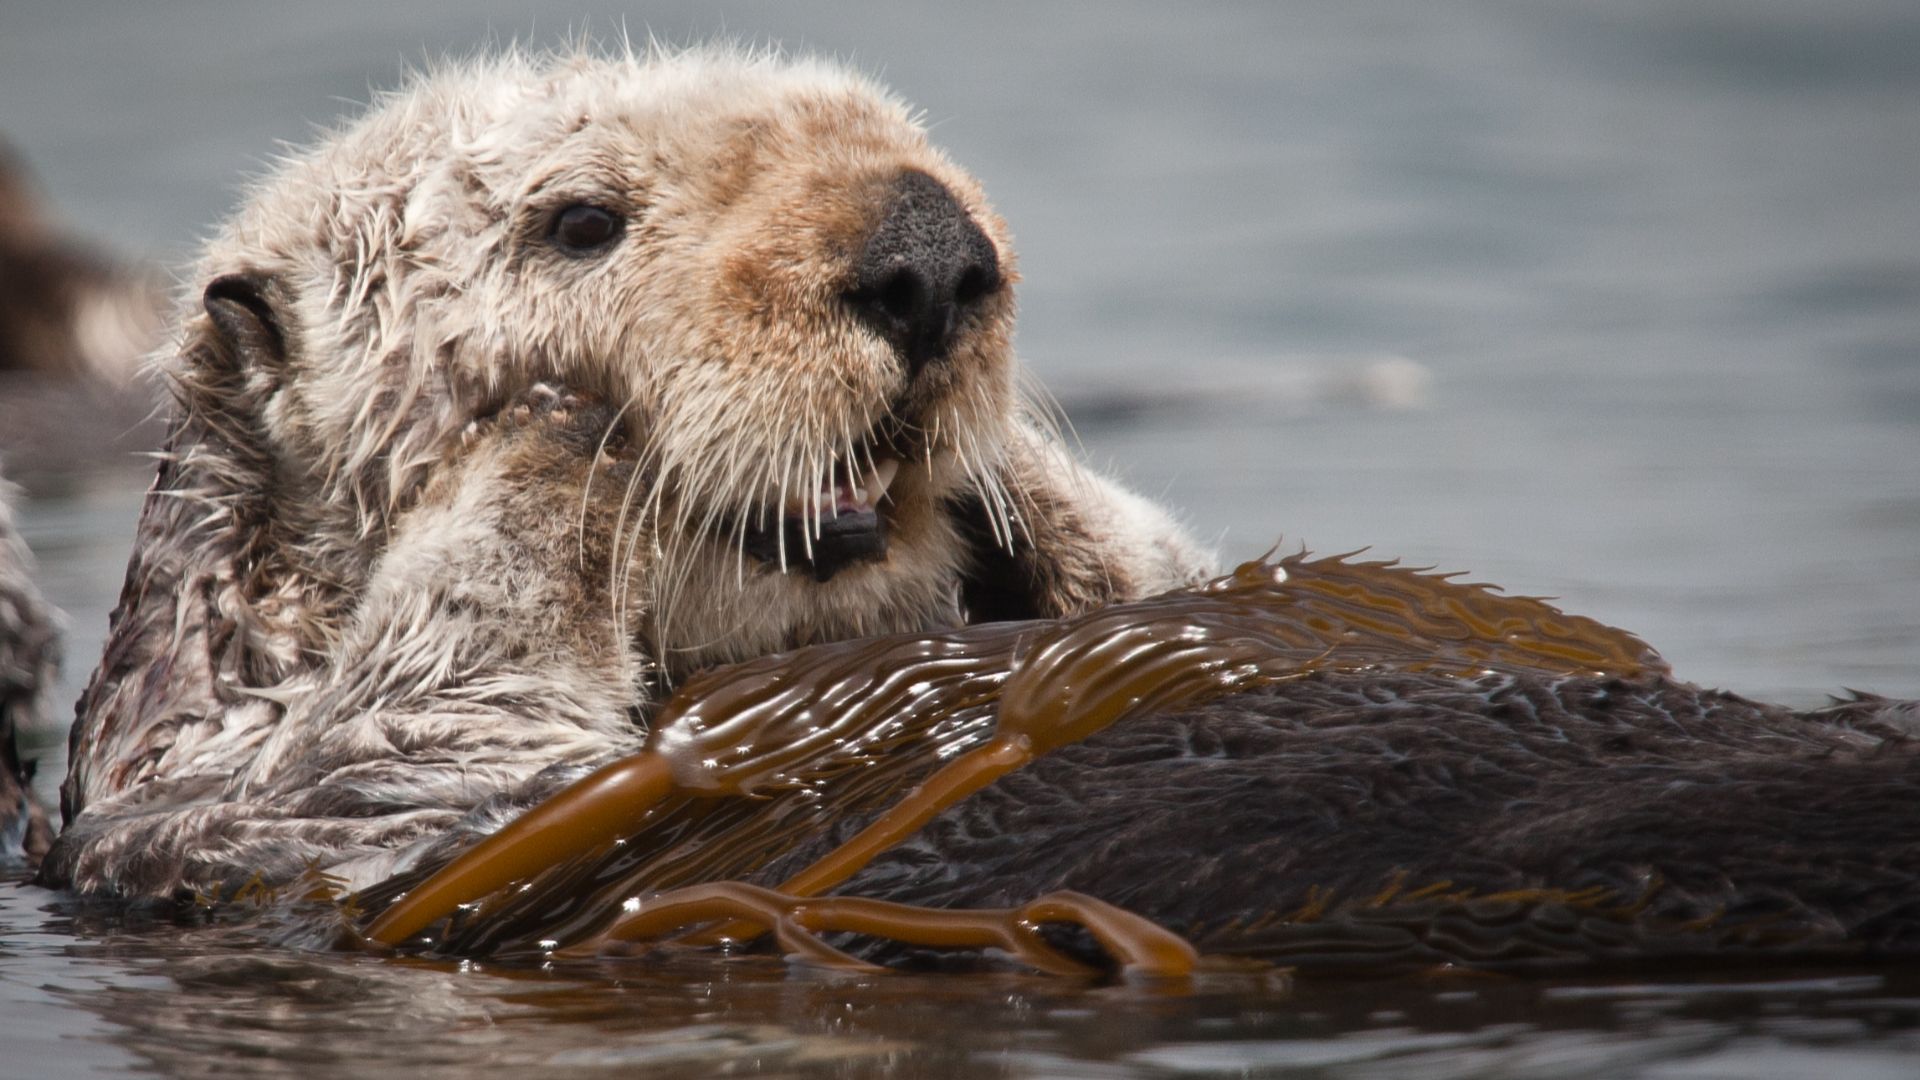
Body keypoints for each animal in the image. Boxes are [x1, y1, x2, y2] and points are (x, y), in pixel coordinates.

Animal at [39, 48, 1211, 899]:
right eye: (583, 221)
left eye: (912, 148)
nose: (928, 256)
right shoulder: (253, 801)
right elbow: (423, 728)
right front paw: (556, 436)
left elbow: (1174, 575)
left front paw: (1022, 477)